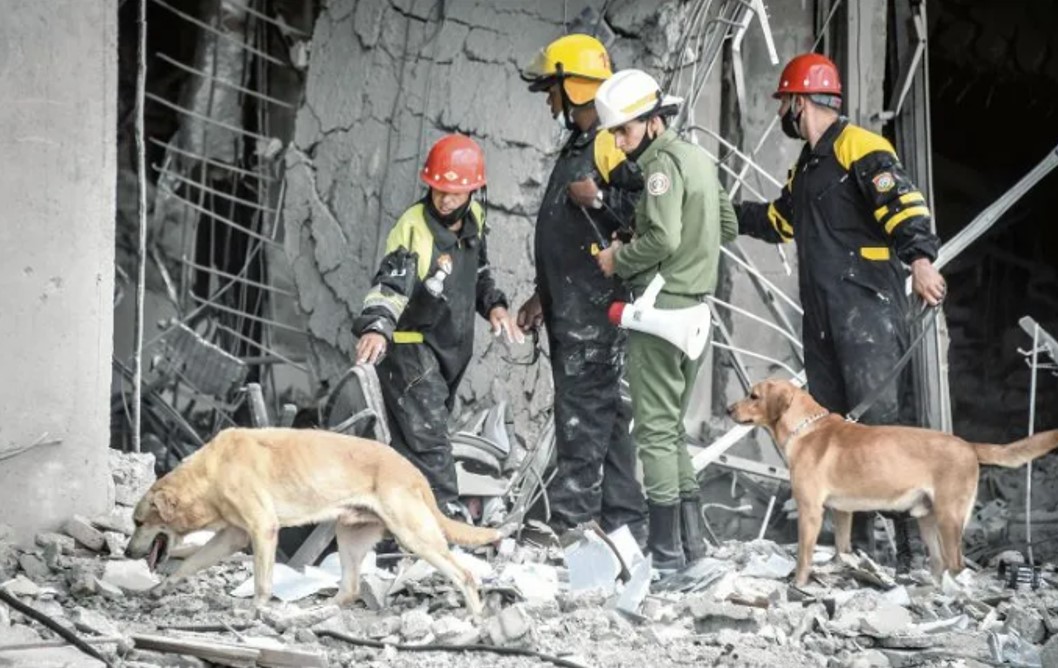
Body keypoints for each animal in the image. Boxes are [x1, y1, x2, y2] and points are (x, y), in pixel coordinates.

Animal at [125, 427, 505, 618]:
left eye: (139, 522)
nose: (127, 553)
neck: (209, 473)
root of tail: (413, 470)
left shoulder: (263, 529)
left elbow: (262, 581)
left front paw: (257, 610)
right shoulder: (233, 536)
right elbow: (190, 563)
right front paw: (162, 587)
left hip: (414, 536)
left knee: (464, 574)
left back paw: (475, 619)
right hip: (348, 534)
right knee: (350, 589)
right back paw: (316, 611)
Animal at [727, 378, 1058, 588]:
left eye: (753, 396)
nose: (728, 409)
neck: (805, 428)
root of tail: (968, 445)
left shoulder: (810, 511)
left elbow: (803, 555)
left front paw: (797, 584)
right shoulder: (842, 511)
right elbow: (842, 547)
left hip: (950, 519)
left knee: (956, 565)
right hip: (927, 520)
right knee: (938, 564)